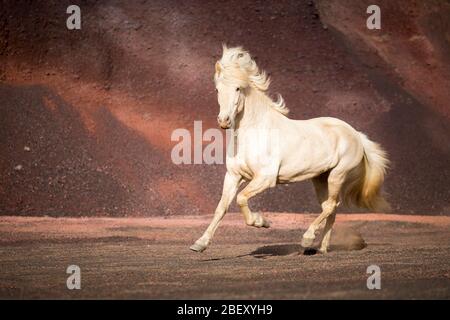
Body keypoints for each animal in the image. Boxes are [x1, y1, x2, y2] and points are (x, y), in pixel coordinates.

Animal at [188, 45, 388, 255]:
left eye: (238, 88)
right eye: (217, 89)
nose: (224, 121)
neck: (254, 132)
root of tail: (356, 134)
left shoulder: (265, 178)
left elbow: (241, 199)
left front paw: (262, 222)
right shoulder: (234, 176)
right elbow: (221, 208)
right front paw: (200, 244)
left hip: (337, 175)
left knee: (331, 206)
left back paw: (307, 239)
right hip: (320, 179)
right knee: (330, 208)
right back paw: (321, 248)